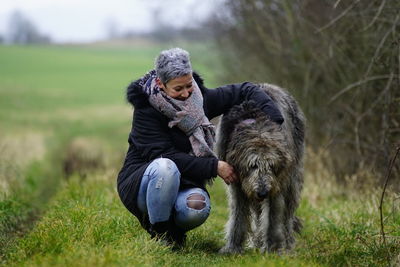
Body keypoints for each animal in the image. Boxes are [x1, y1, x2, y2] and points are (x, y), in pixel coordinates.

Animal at [217, 84, 304, 255]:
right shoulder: (237, 183)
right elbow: (238, 213)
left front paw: (272, 248)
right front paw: (233, 247)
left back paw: (287, 242)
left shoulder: (278, 182)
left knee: (287, 214)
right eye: (252, 165)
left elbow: (273, 215)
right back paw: (257, 241)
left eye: (272, 166)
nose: (262, 193)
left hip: (293, 178)